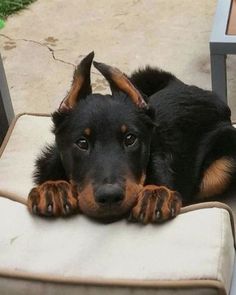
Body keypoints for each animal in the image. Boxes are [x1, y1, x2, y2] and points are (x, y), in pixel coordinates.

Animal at [27, 52, 236, 224]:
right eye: (82, 143)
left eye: (130, 139)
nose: (110, 197)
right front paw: (54, 189)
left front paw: (155, 195)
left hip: (223, 168)